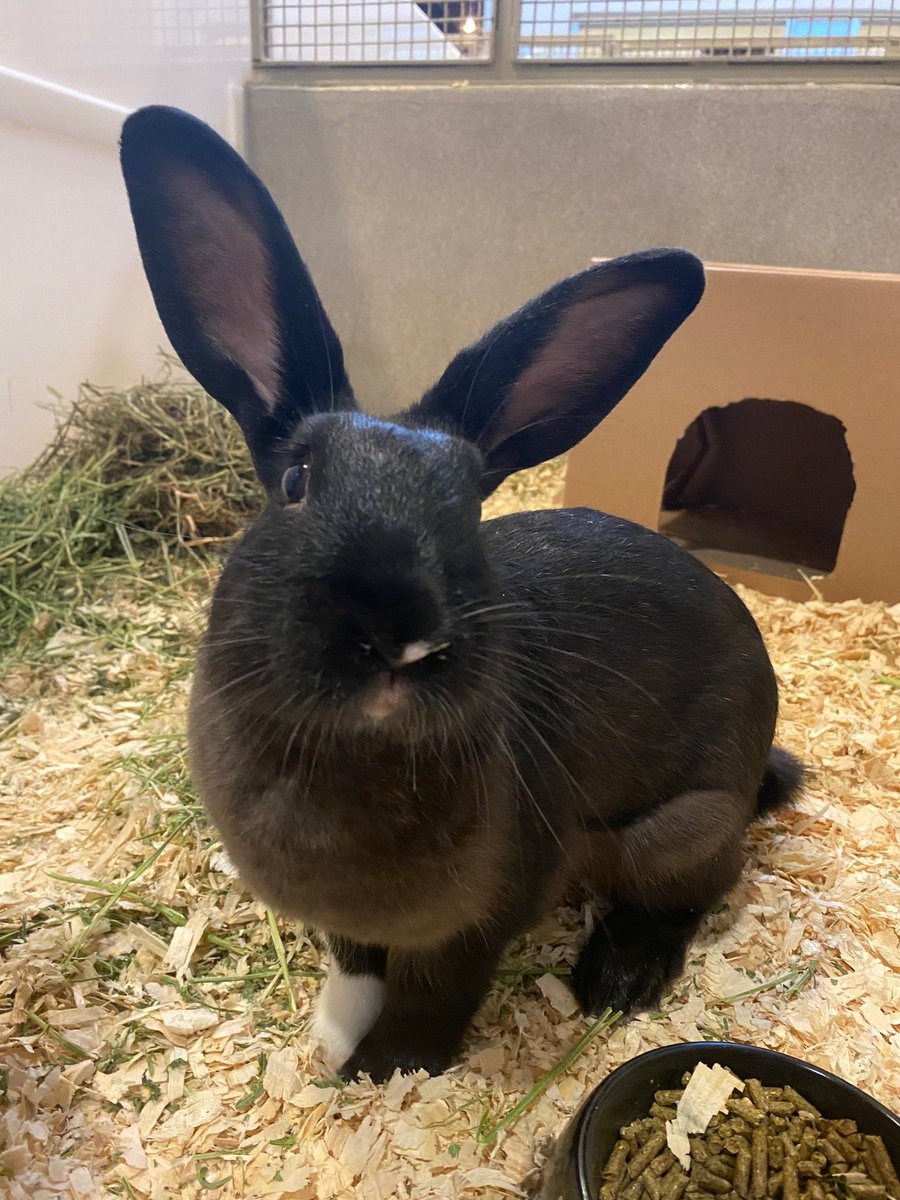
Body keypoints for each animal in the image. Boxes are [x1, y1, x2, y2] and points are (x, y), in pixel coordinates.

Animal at [119, 105, 804, 1083]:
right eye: (295, 482)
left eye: (469, 508)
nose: (399, 636)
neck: (346, 756)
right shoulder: (349, 922)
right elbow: (357, 963)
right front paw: (336, 1033)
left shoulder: (487, 912)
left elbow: (434, 994)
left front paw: (385, 1069)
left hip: (679, 828)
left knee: (698, 890)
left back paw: (617, 977)